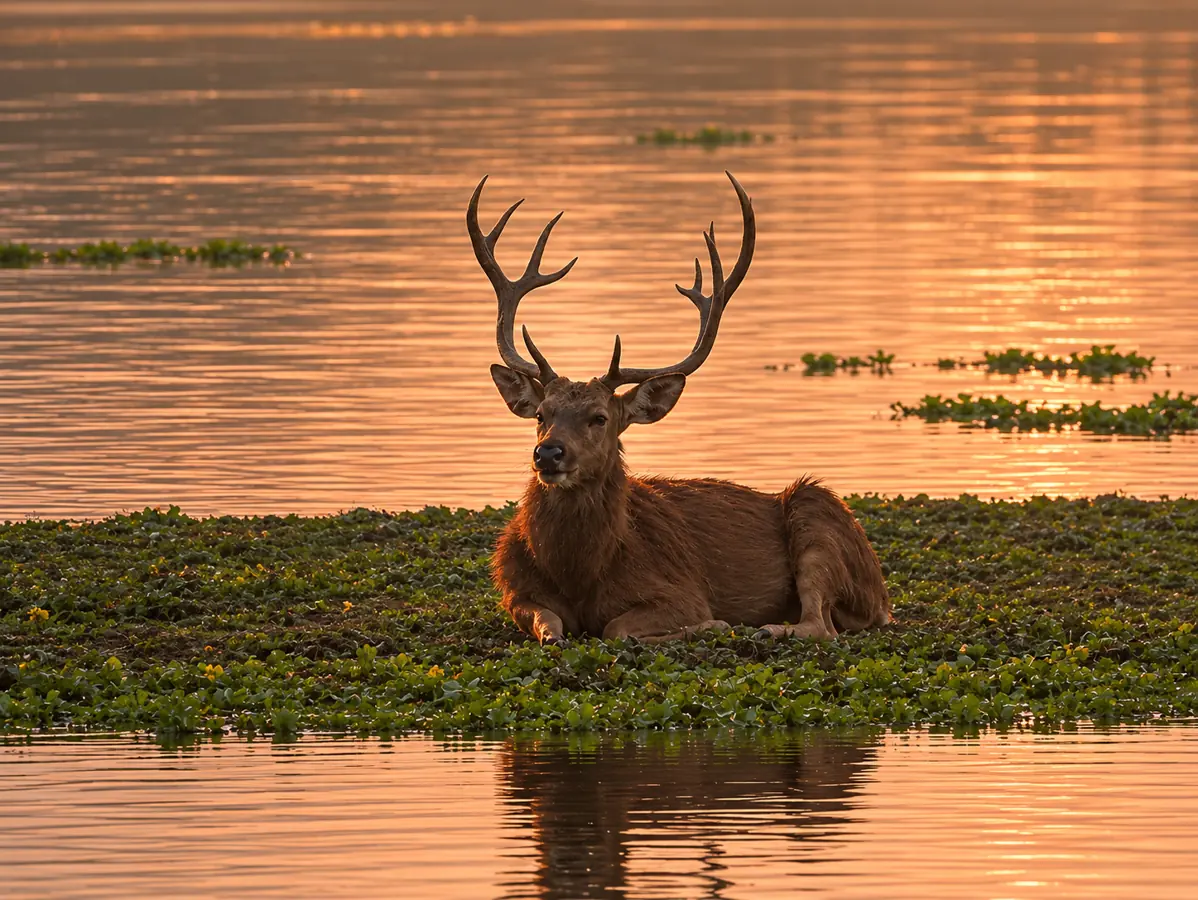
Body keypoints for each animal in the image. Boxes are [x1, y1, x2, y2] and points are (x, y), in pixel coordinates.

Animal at [468, 171, 891, 645]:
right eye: (542, 415)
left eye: (600, 418)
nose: (548, 453)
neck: (579, 574)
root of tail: (882, 597)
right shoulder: (514, 588)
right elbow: (549, 627)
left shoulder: (679, 589)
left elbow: (617, 628)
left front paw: (710, 623)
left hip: (819, 514)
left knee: (822, 624)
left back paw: (762, 628)